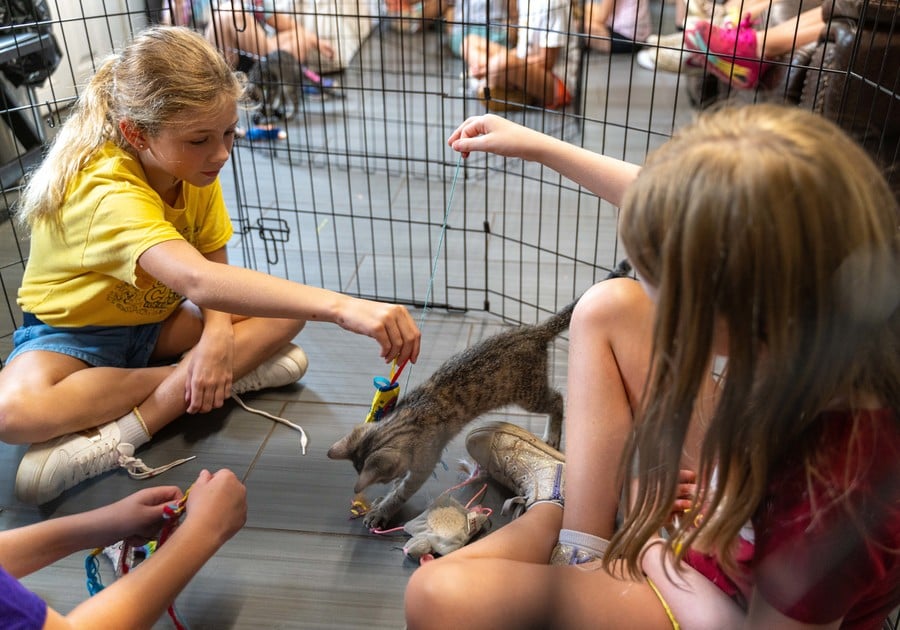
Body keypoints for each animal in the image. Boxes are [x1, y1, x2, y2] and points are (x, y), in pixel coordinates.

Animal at [326, 262, 628, 528]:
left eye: (383, 478)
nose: (385, 484)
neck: (410, 417)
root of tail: (532, 331)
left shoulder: (424, 462)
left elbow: (404, 490)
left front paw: (383, 509)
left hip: (529, 393)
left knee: (557, 400)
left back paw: (552, 435)